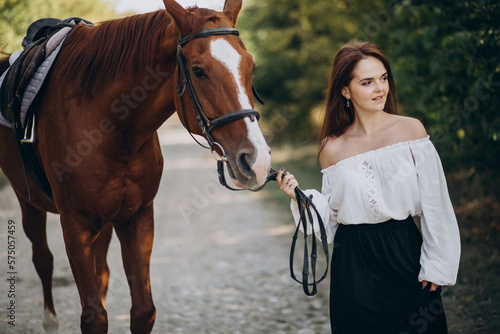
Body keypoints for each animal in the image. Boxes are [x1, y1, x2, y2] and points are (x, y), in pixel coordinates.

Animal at [0, 1, 270, 332]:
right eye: (199, 71)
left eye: (251, 66)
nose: (257, 160)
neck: (109, 125)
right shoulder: (75, 223)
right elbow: (94, 316)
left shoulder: (137, 217)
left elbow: (142, 311)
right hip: (29, 202)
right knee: (43, 260)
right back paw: (49, 320)